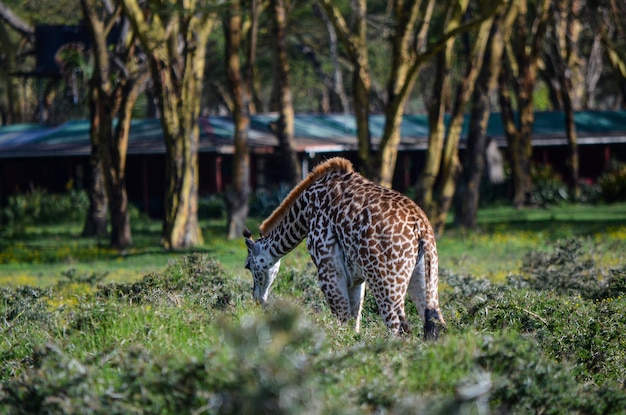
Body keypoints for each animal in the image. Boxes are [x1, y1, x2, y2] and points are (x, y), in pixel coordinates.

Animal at [244, 158, 444, 340]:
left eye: (248, 266)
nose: (257, 301)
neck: (305, 211)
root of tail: (420, 226)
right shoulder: (356, 279)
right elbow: (353, 323)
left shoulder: (329, 272)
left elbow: (341, 320)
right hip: (425, 277)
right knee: (435, 325)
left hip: (386, 283)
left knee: (399, 329)